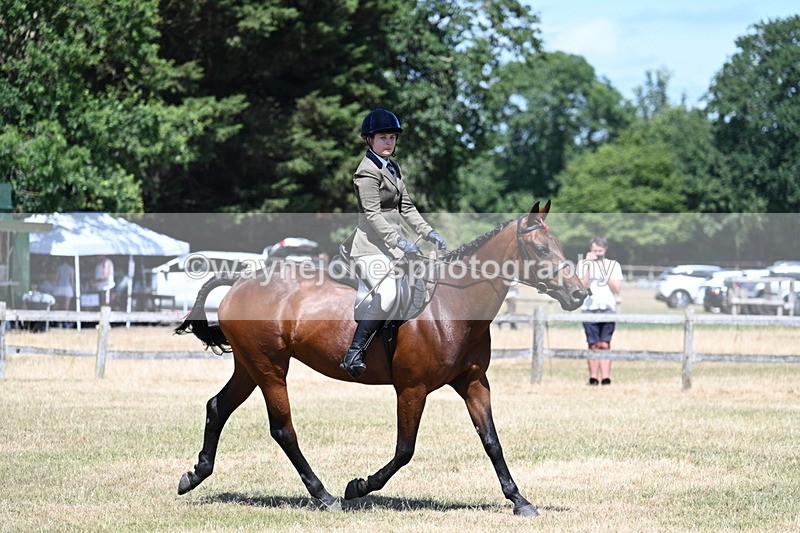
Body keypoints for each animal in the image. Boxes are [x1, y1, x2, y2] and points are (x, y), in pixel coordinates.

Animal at [175, 200, 588, 516]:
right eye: (541, 250)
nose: (579, 294)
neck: (452, 304)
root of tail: (241, 280)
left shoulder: (472, 382)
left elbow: (491, 441)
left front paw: (520, 500)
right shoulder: (412, 388)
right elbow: (405, 450)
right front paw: (359, 486)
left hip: (249, 366)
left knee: (217, 406)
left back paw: (194, 475)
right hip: (271, 368)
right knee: (283, 429)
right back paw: (325, 495)